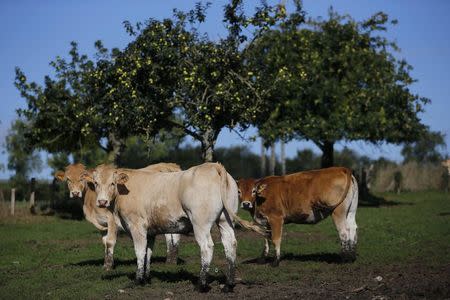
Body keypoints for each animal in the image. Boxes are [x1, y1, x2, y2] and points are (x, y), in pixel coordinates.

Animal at [82, 163, 266, 292]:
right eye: (96, 183)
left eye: (112, 183)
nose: (102, 202)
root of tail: (213, 166)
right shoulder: (150, 231)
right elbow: (148, 253)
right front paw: (146, 278)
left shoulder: (136, 226)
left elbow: (140, 252)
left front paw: (137, 280)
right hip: (225, 221)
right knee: (230, 245)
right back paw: (228, 284)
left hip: (200, 223)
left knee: (207, 247)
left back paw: (201, 284)